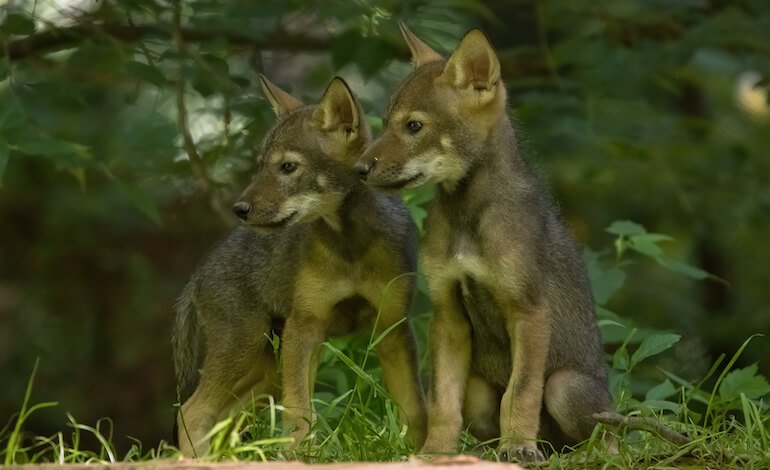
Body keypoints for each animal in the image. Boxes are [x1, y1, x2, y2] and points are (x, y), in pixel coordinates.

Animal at [172, 75, 426, 457]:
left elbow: (413, 407)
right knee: (191, 411)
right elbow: (300, 414)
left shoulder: (392, 326)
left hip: (264, 369)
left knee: (220, 416)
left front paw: (421, 452)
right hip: (245, 348)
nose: (239, 209)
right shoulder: (305, 326)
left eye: (288, 167)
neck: (350, 248)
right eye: (261, 165)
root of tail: (196, 277)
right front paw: (300, 457)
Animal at [353, 25, 611, 461]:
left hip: (566, 386)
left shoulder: (529, 311)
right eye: (386, 123)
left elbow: (520, 392)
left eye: (414, 126)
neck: (467, 220)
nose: (359, 168)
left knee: (609, 437)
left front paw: (519, 446)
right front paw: (435, 453)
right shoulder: (447, 313)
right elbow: (442, 402)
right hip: (477, 390)